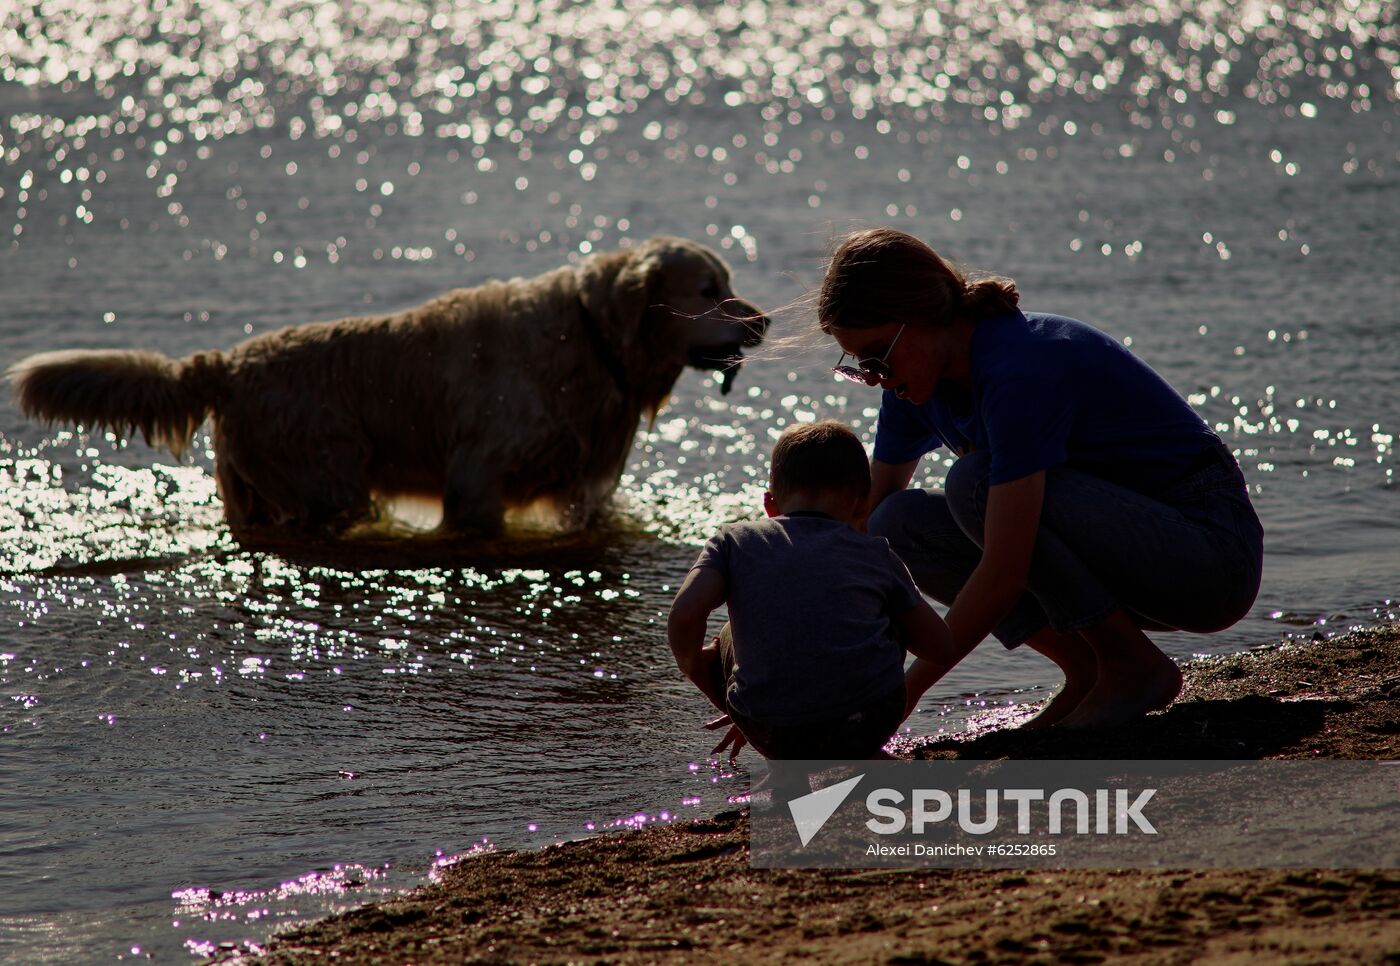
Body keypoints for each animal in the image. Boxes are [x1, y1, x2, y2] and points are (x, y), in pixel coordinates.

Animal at [8, 236, 767, 537]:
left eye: (728, 283)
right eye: (709, 289)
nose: (762, 320)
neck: (592, 339)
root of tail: (228, 362)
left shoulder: (584, 489)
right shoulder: (476, 481)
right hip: (328, 481)